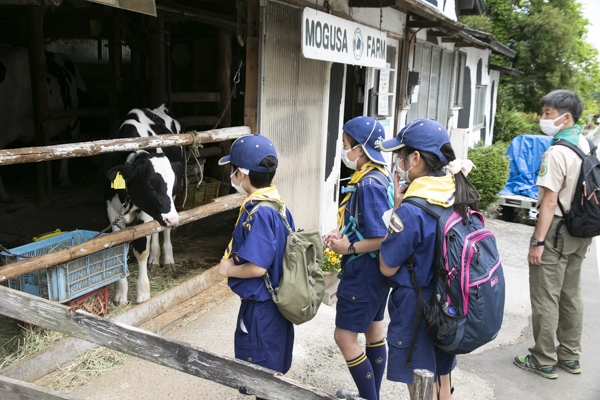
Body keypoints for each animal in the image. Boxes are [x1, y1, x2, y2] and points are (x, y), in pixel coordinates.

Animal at [100, 104, 183, 304]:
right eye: (150, 184)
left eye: (172, 183)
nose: (173, 219)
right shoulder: (112, 211)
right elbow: (120, 249)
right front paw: (120, 294)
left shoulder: (146, 212)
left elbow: (141, 249)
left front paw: (143, 293)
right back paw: (155, 258)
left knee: (163, 231)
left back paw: (166, 258)